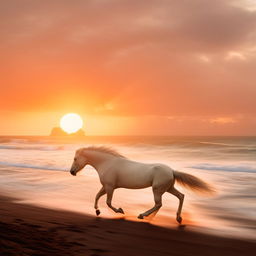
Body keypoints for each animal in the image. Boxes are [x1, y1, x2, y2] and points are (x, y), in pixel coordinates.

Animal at [69, 147, 212, 223]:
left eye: (75, 159)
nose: (71, 172)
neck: (107, 163)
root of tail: (172, 171)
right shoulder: (106, 187)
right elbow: (97, 196)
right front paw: (97, 211)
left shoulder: (110, 187)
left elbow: (108, 202)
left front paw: (120, 211)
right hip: (168, 188)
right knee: (180, 196)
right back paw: (177, 218)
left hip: (157, 190)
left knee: (159, 204)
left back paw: (143, 215)